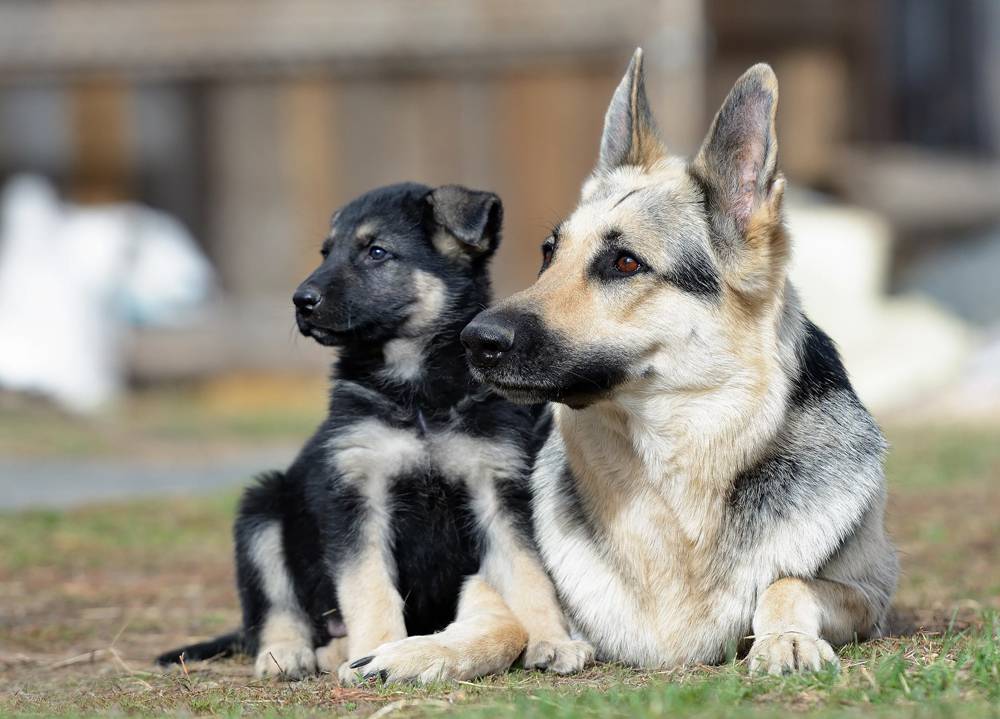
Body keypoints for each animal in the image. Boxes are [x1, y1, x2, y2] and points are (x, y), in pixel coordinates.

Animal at [159, 183, 588, 684]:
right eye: (326, 252)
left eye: (377, 252)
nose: (300, 300)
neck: (417, 395)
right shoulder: (357, 494)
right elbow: (368, 586)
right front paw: (377, 651)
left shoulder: (499, 489)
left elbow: (529, 574)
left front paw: (552, 641)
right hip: (262, 509)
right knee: (276, 608)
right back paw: (287, 653)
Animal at [454, 53, 900, 676]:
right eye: (549, 253)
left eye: (624, 262)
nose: (474, 340)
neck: (671, 468)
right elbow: (506, 610)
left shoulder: (871, 595)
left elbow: (789, 581)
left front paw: (786, 637)